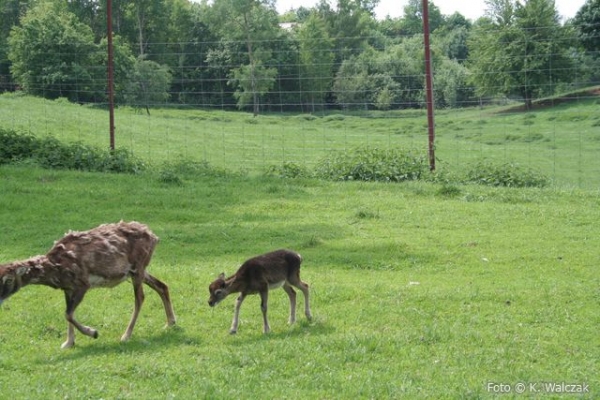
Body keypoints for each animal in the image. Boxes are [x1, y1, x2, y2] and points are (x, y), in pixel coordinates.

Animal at [0, 220, 177, 348]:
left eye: (8, 279)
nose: (0, 299)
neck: (56, 269)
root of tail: (154, 237)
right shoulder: (67, 287)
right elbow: (68, 313)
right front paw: (68, 343)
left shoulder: (82, 283)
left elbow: (68, 313)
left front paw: (93, 333)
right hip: (139, 270)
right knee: (162, 285)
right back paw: (170, 323)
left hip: (138, 267)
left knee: (140, 297)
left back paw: (126, 335)